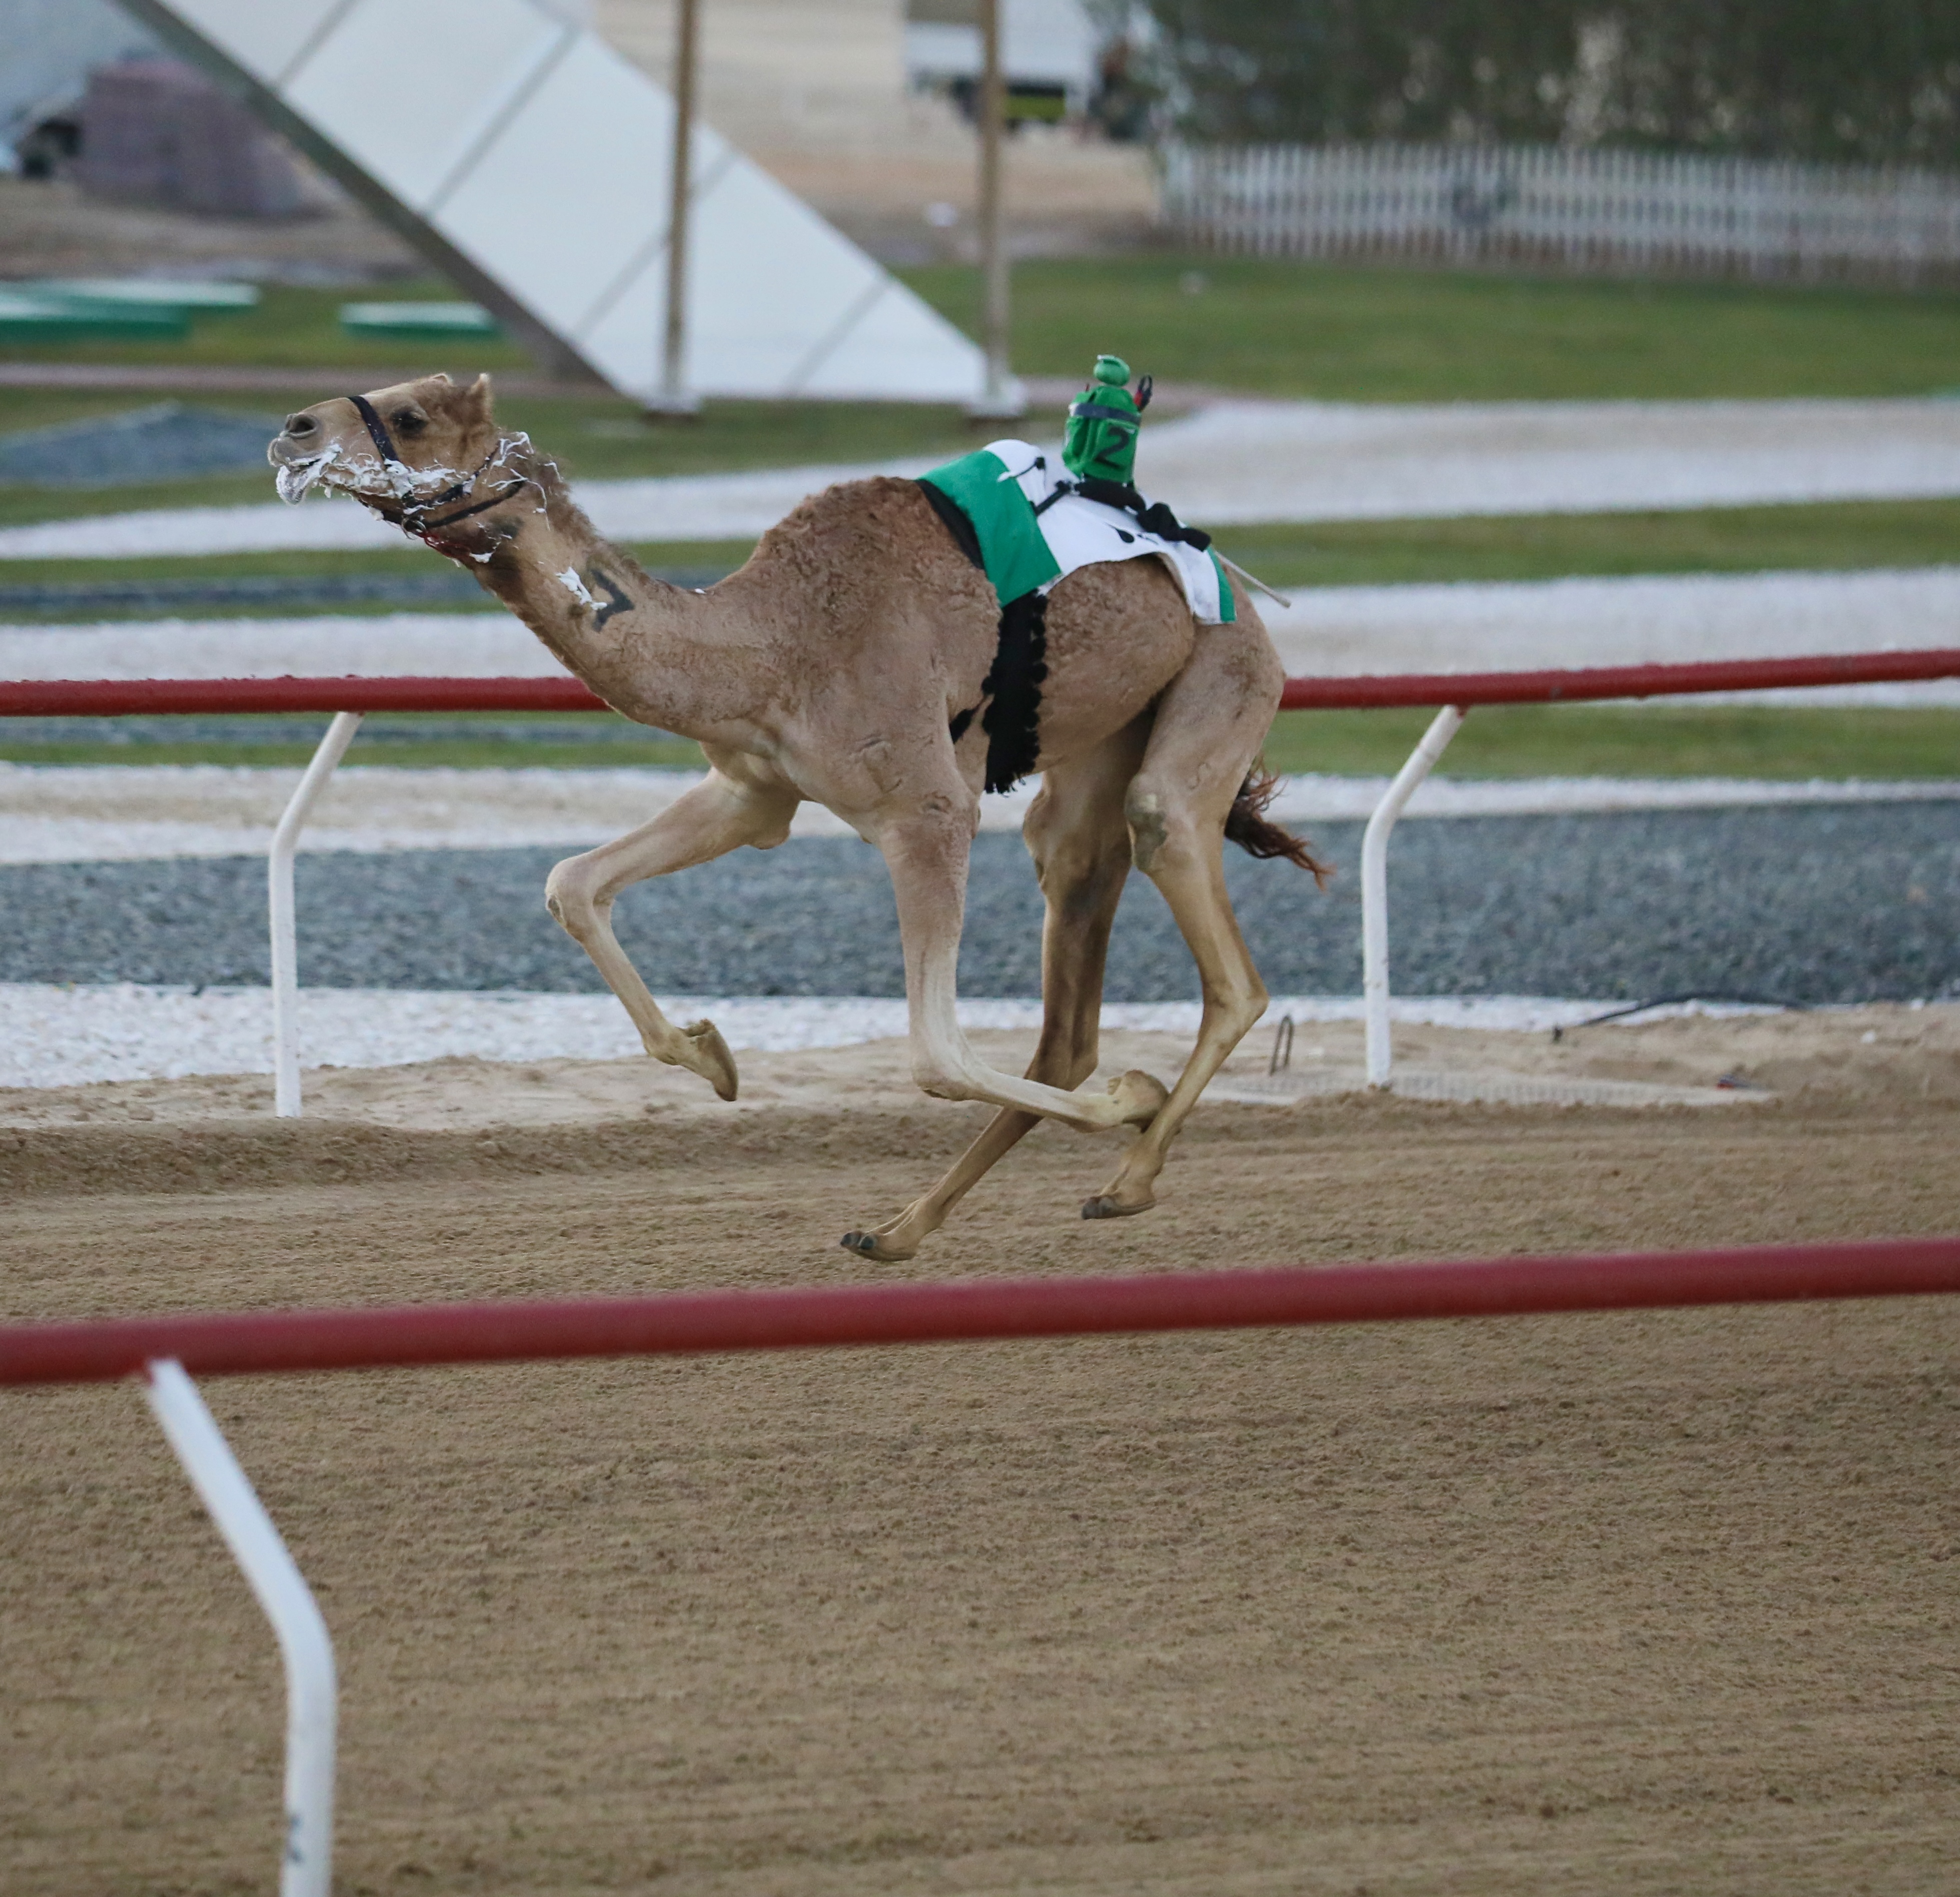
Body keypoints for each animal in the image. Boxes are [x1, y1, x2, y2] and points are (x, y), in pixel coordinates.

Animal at [268, 370, 1325, 1262]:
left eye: (411, 415)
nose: (292, 430)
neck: (776, 644)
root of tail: (1241, 590)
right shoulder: (753, 787)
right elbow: (572, 882)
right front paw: (710, 1056)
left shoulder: (927, 808)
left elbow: (936, 1050)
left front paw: (1132, 1102)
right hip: (1096, 755)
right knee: (1068, 992)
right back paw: (899, 1229)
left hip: (1219, 685)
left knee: (1213, 937)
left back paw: (1129, 1170)